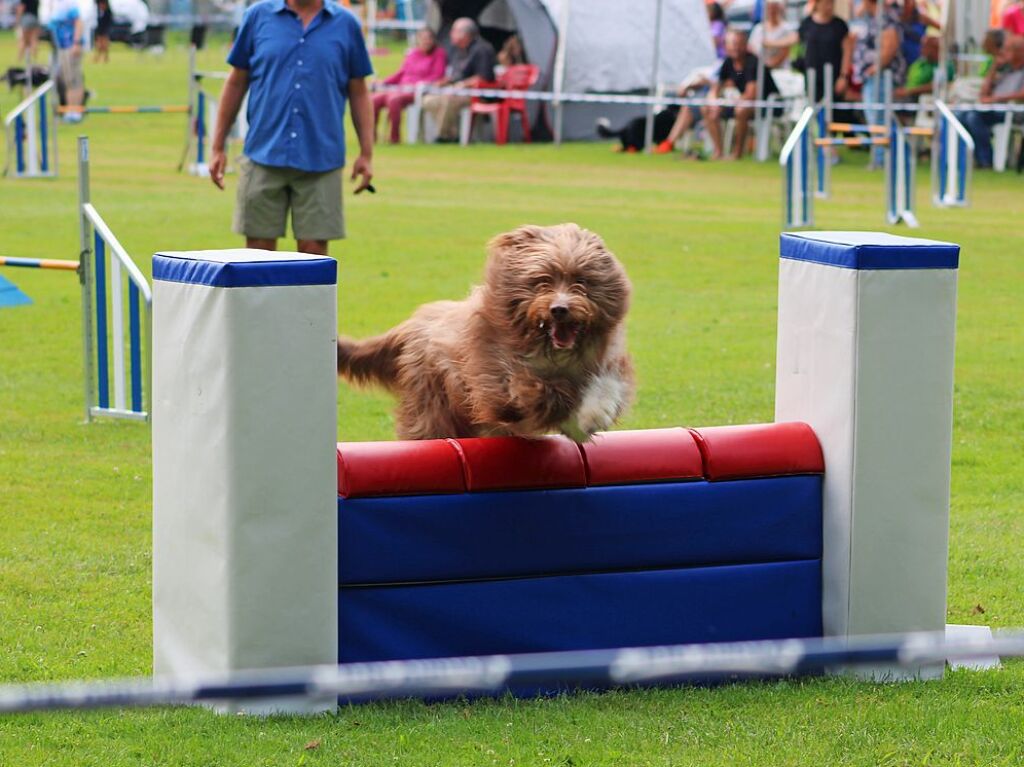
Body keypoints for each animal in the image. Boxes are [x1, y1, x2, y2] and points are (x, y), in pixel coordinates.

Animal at [335, 221, 630, 440]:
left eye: (581, 280)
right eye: (542, 281)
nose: (559, 309)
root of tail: (413, 323)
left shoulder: (605, 359)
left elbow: (606, 387)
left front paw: (592, 416)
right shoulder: (495, 376)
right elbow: (540, 394)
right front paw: (570, 418)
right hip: (431, 402)